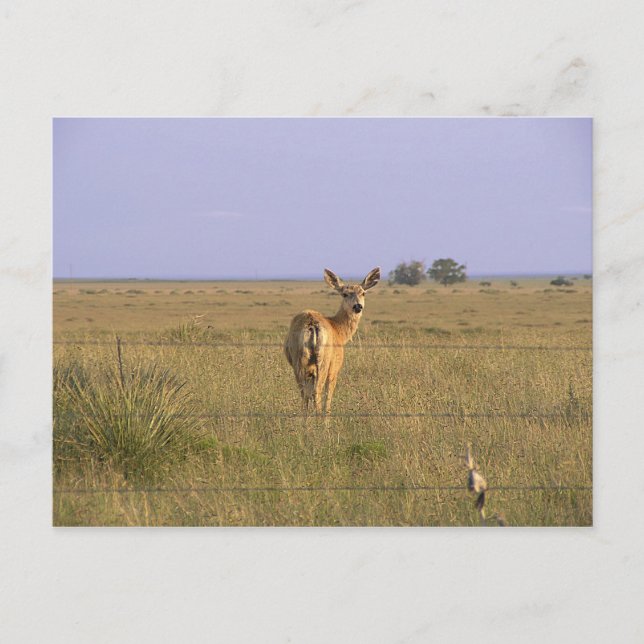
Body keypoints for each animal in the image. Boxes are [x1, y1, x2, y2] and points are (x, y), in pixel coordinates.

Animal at [284, 267, 380, 414]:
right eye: (345, 294)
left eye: (363, 293)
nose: (357, 306)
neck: (338, 330)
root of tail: (312, 325)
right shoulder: (335, 367)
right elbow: (328, 396)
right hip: (324, 361)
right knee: (317, 391)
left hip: (299, 360)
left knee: (305, 392)